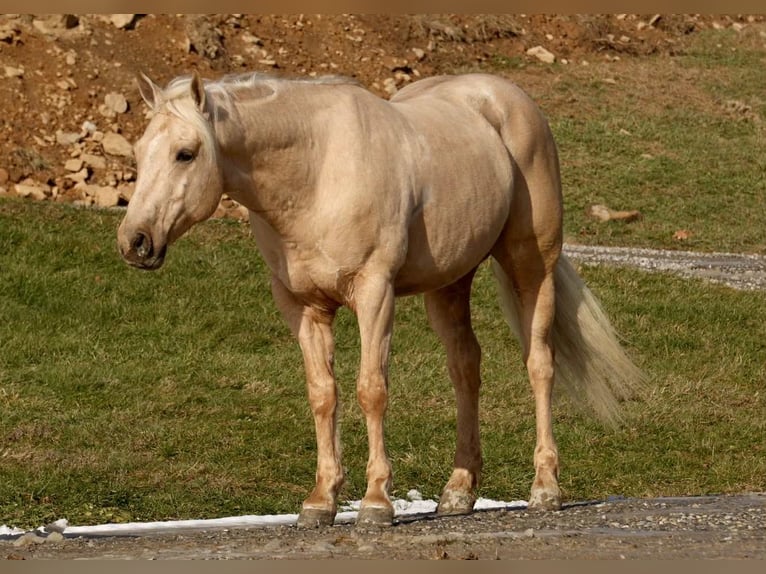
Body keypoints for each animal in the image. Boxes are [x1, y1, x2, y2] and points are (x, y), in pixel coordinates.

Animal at [117, 71, 645, 527]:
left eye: (186, 153)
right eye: (141, 151)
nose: (135, 241)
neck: (316, 172)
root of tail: (505, 97)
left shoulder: (374, 293)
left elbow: (371, 390)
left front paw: (375, 502)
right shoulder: (304, 308)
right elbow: (323, 394)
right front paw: (321, 500)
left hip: (532, 266)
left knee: (539, 364)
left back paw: (545, 488)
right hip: (449, 283)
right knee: (465, 369)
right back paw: (458, 492)